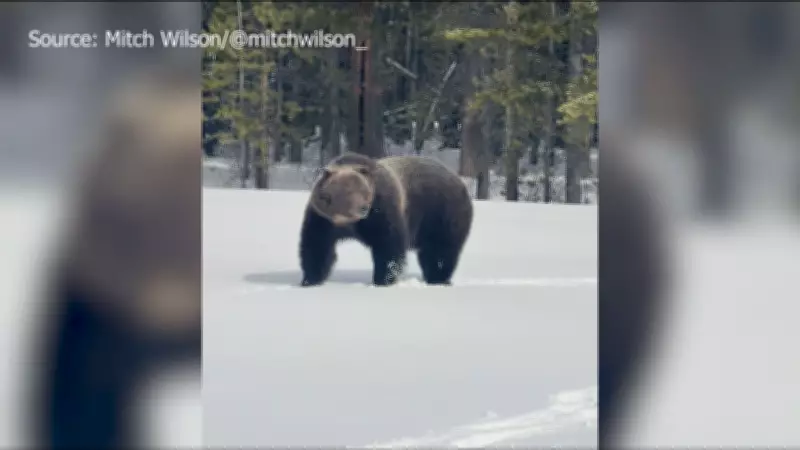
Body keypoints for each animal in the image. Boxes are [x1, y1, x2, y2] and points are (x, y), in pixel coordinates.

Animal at [299, 152, 473, 287]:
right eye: (349, 191)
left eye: (364, 191)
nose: (363, 208)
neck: (348, 221)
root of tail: (459, 180)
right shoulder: (322, 218)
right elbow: (317, 245)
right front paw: (310, 280)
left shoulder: (381, 210)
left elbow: (388, 245)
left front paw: (383, 280)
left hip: (442, 214)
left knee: (441, 250)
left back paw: (438, 278)